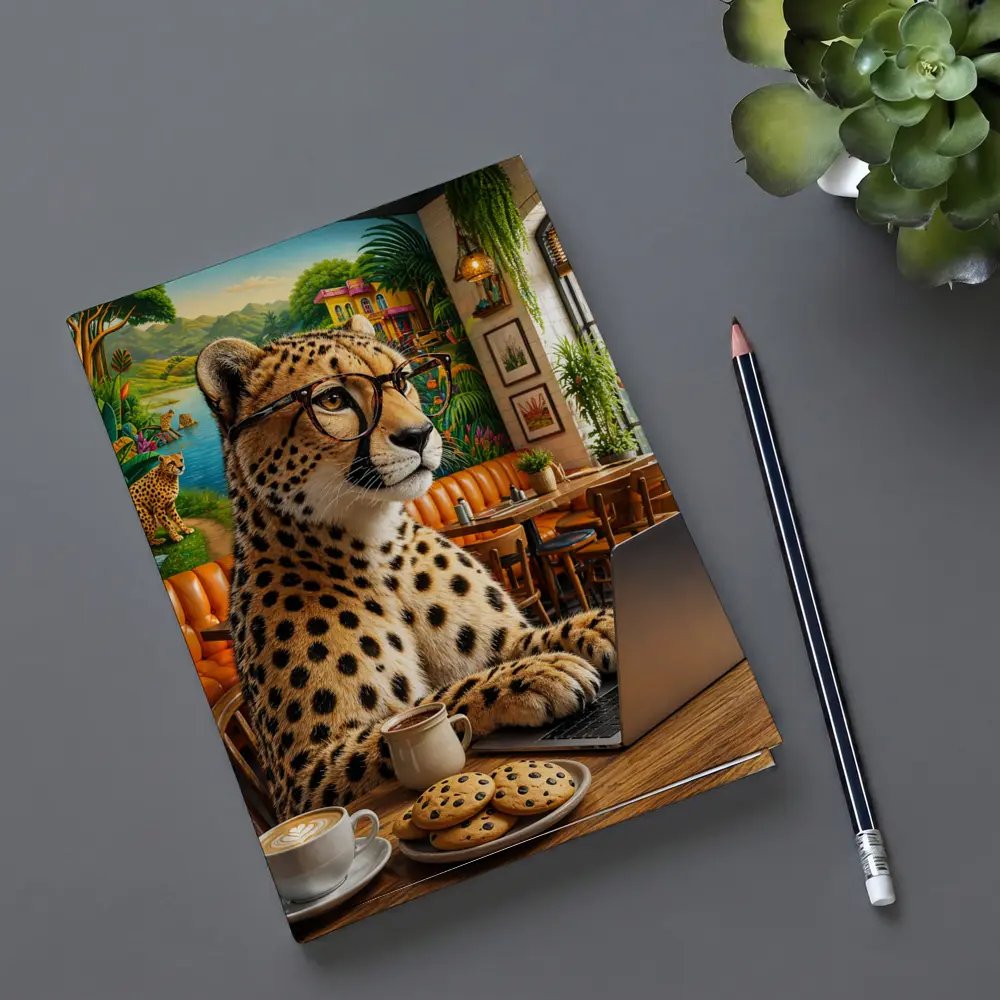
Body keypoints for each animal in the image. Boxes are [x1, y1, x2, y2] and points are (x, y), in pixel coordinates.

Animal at [196, 314, 616, 823]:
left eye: (400, 380)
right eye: (332, 399)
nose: (420, 434)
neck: (374, 543)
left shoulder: (506, 639)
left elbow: (531, 636)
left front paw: (599, 624)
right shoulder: (304, 780)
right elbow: (428, 704)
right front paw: (535, 676)